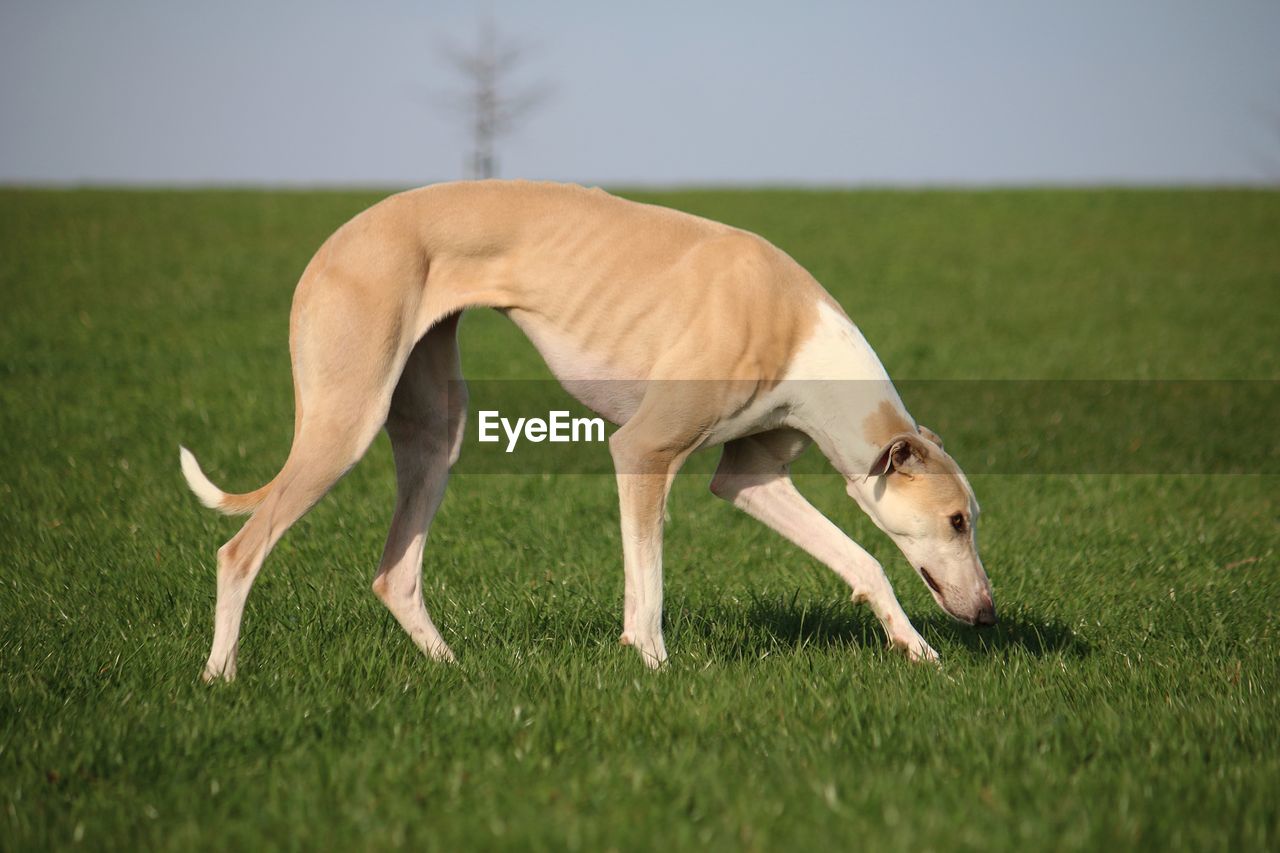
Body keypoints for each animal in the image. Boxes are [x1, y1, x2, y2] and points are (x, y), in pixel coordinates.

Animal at [180, 179, 993, 676]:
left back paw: (450, 667)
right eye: (957, 520)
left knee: (394, 572)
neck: (800, 330)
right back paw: (220, 676)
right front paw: (655, 666)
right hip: (345, 419)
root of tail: (334, 243)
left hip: (435, 429)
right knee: (238, 550)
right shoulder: (645, 448)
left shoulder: (751, 476)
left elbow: (863, 560)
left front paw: (917, 649)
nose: (987, 614)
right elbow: (649, 585)